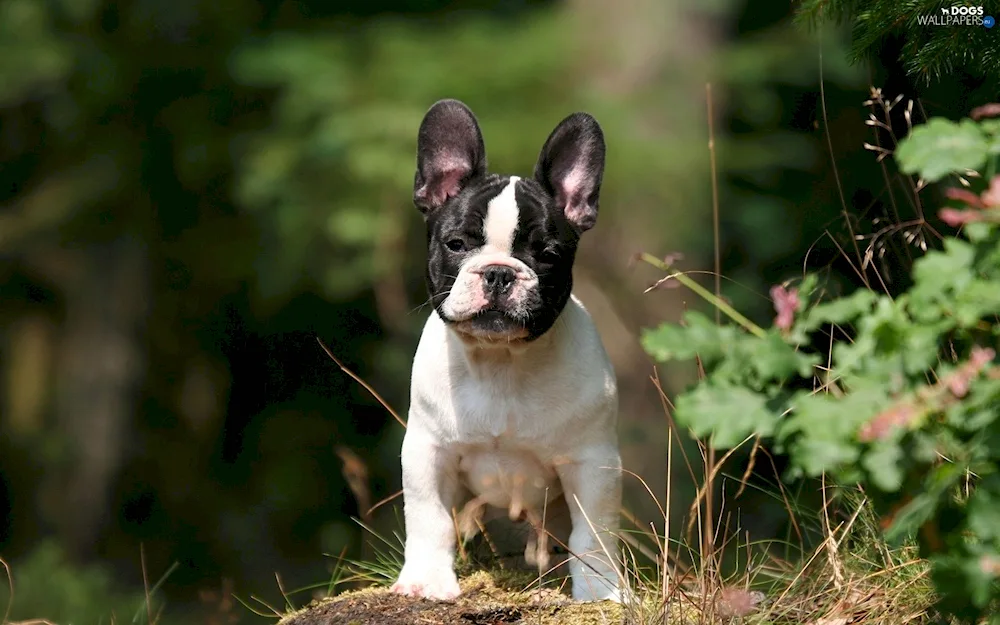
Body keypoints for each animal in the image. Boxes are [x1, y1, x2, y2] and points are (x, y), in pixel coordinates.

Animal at [392, 100, 620, 604]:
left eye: (547, 254)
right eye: (456, 244)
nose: (499, 272)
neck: (500, 365)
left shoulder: (591, 462)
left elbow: (592, 534)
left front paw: (600, 592)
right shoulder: (427, 451)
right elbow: (428, 519)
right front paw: (426, 581)